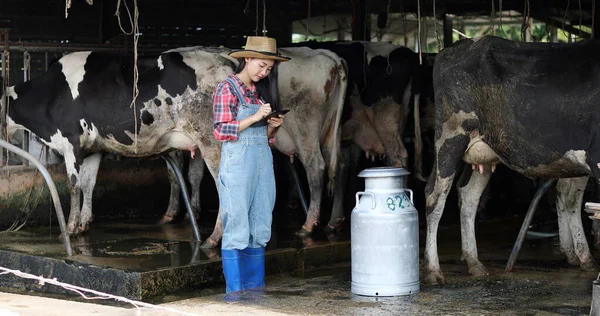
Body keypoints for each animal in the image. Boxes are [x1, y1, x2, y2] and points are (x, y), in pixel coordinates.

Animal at [2, 47, 346, 241]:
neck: (49, 94)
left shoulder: (71, 142)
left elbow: (73, 187)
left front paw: (71, 227)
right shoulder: (93, 147)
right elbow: (88, 185)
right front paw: (85, 224)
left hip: (229, 140)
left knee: (306, 169)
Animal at [424, 35, 596, 286]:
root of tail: (456, 47)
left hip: (483, 152)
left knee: (468, 196)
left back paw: (474, 263)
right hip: (450, 139)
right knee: (434, 198)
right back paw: (433, 270)